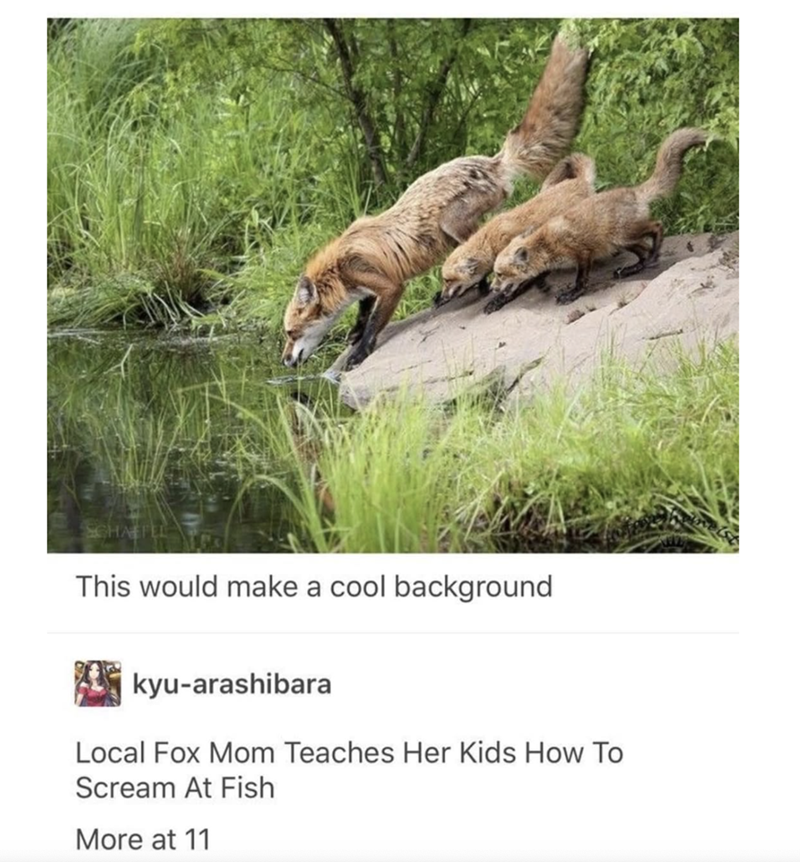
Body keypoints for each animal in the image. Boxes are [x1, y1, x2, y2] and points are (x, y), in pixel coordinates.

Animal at [436, 152, 596, 306]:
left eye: (447, 280)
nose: (442, 297)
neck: (490, 242)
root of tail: (579, 181)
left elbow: (516, 285)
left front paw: (498, 300)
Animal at [487, 128, 709, 313]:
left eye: (500, 274)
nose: (492, 288)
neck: (546, 244)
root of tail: (634, 192)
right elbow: (536, 279)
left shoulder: (582, 253)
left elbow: (580, 279)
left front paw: (572, 294)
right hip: (619, 241)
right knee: (643, 251)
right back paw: (635, 267)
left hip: (622, 235)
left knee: (657, 227)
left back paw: (654, 255)